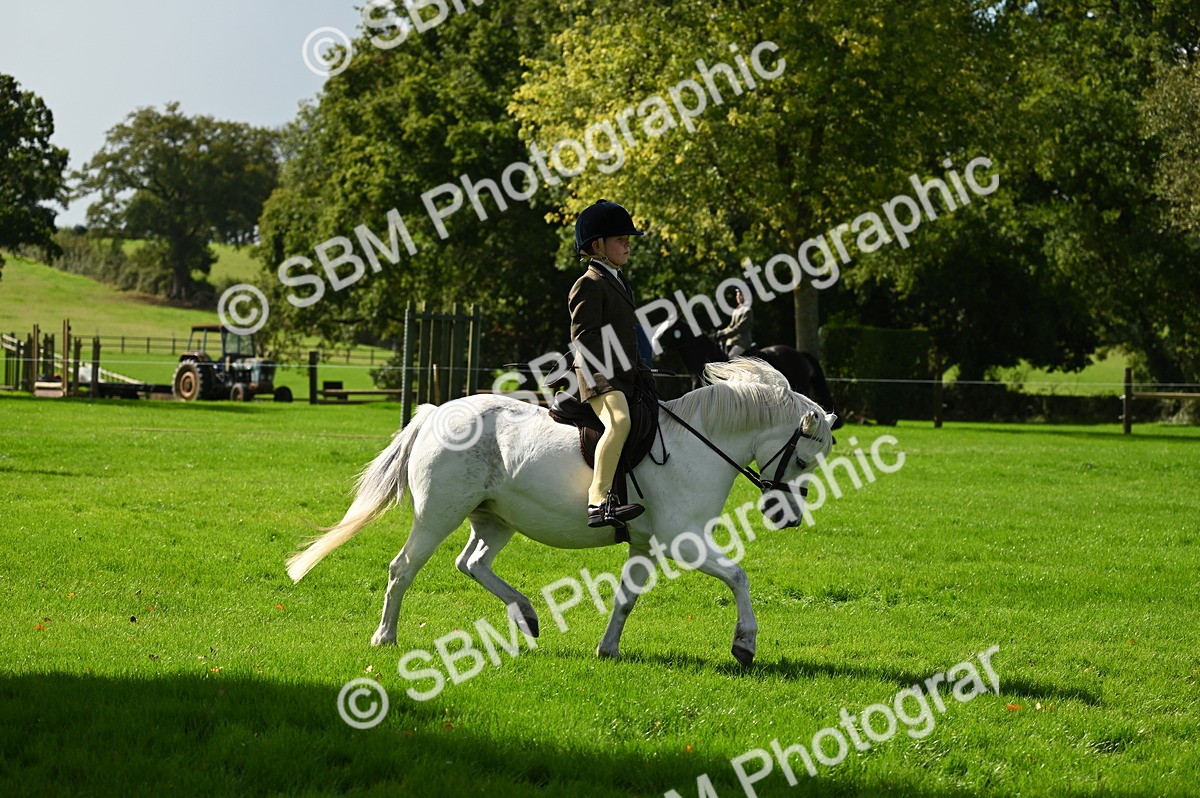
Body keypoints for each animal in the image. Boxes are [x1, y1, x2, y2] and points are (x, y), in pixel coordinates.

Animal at [286, 359, 836, 666]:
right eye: (804, 459)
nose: (787, 516)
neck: (697, 445)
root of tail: (436, 412)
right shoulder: (686, 541)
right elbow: (739, 576)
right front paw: (745, 645)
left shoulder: (645, 544)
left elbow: (626, 599)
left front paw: (608, 650)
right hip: (439, 515)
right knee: (403, 570)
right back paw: (385, 637)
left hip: (494, 519)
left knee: (472, 563)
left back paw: (526, 615)